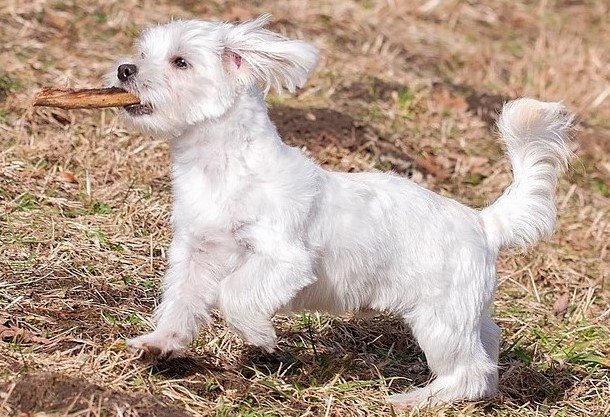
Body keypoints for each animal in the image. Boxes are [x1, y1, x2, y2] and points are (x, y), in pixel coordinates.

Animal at [108, 13, 568, 406]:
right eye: (144, 53)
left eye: (180, 62)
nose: (125, 70)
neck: (220, 165)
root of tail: (483, 222)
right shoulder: (196, 252)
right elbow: (181, 302)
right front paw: (159, 343)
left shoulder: (285, 257)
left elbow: (233, 293)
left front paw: (259, 335)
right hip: (467, 313)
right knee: (488, 349)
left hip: (441, 319)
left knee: (469, 371)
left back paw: (413, 401)